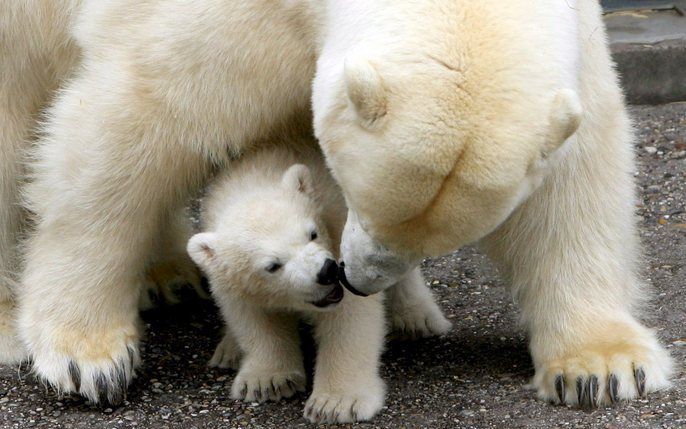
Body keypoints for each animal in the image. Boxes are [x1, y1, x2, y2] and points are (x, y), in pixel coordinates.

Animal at [2, 0, 676, 408]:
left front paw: (603, 368)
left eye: (441, 239)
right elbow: (130, 129)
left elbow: (575, 176)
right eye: (363, 199)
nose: (354, 278)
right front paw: (88, 356)